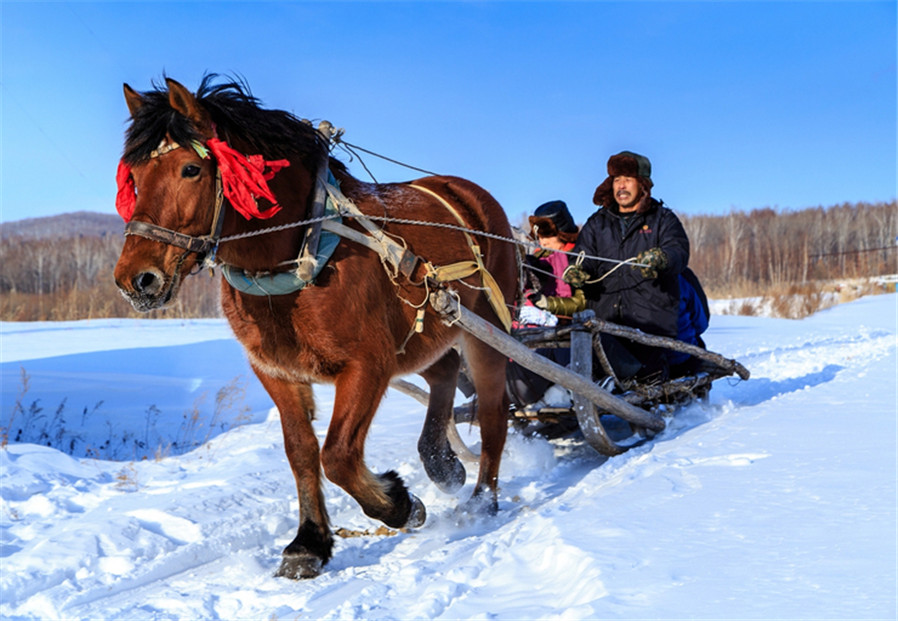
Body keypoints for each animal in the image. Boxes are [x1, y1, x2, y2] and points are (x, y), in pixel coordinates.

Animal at [113, 76, 520, 576]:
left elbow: (338, 455)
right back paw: (441, 463)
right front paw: (309, 541)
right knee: (442, 375)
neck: (302, 256)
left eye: (191, 169)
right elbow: (302, 452)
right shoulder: (276, 370)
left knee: (493, 414)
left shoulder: (368, 365)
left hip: (487, 332)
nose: (136, 279)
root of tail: (467, 193)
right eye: (133, 178)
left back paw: (482, 499)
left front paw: (399, 504)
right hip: (426, 331)